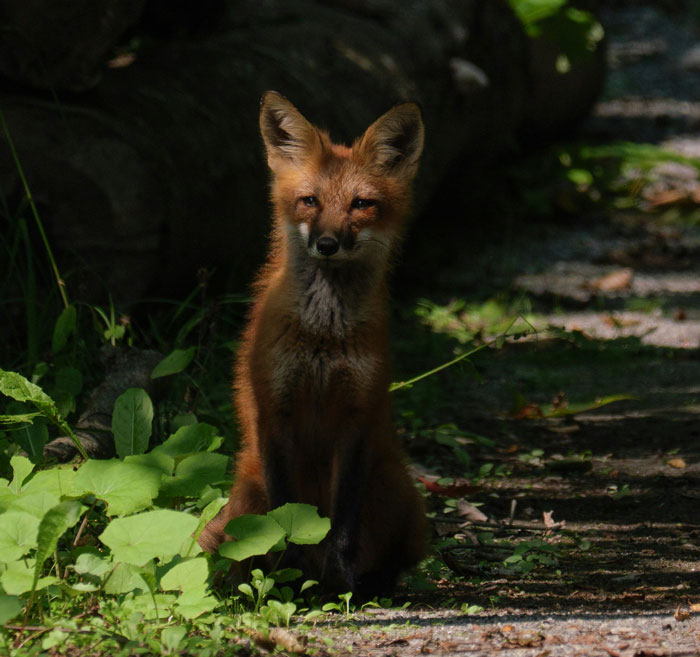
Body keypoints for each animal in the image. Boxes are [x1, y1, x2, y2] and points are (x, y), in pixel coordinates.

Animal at [198, 91, 427, 596]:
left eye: (361, 204)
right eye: (309, 201)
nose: (327, 243)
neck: (323, 336)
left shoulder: (357, 415)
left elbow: (342, 523)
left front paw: (338, 583)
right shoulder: (274, 409)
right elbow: (288, 517)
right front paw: (291, 575)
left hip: (400, 490)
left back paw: (370, 584)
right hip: (247, 496)